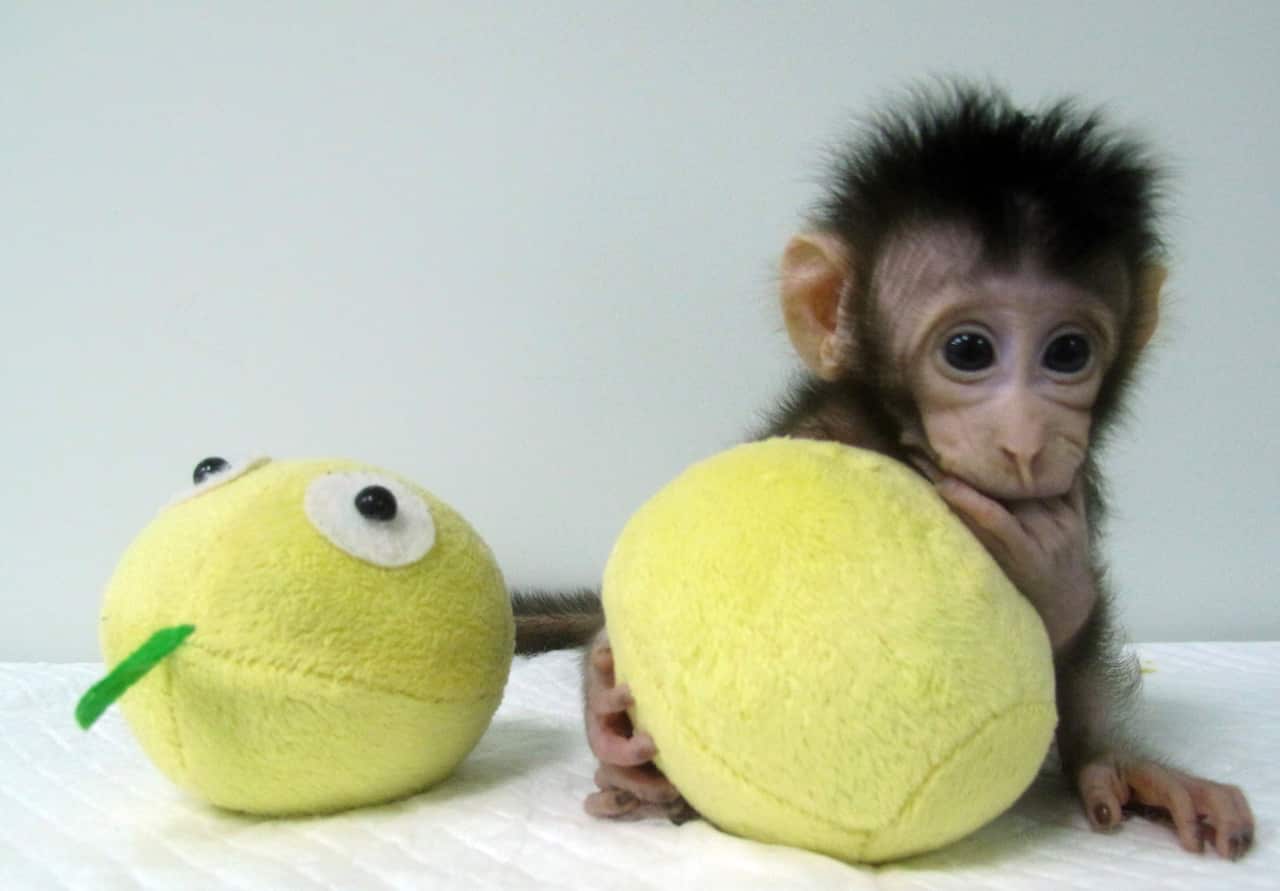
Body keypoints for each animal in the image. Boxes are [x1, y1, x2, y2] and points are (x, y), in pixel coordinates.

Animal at [513, 81, 1256, 860]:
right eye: (968, 350)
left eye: (1068, 353)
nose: (1026, 440)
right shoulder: (819, 430)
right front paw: (607, 710)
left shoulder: (1082, 482)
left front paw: (1119, 755)